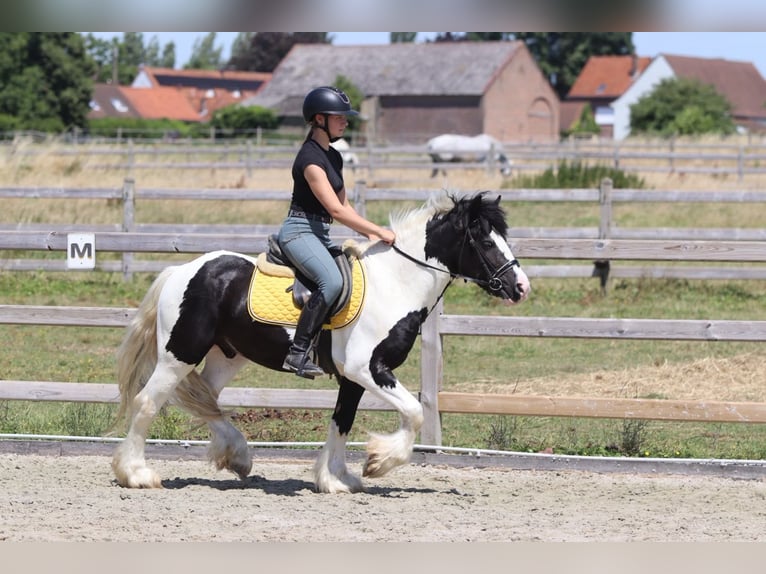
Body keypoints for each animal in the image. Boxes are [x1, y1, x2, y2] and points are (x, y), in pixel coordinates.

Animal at [111, 191, 530, 493]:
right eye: (485, 241)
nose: (521, 287)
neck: (395, 283)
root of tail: (181, 270)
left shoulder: (352, 378)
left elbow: (341, 422)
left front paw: (336, 479)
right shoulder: (368, 369)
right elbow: (414, 412)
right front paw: (377, 462)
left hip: (225, 356)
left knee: (206, 400)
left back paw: (238, 456)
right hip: (180, 353)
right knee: (148, 402)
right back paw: (137, 474)